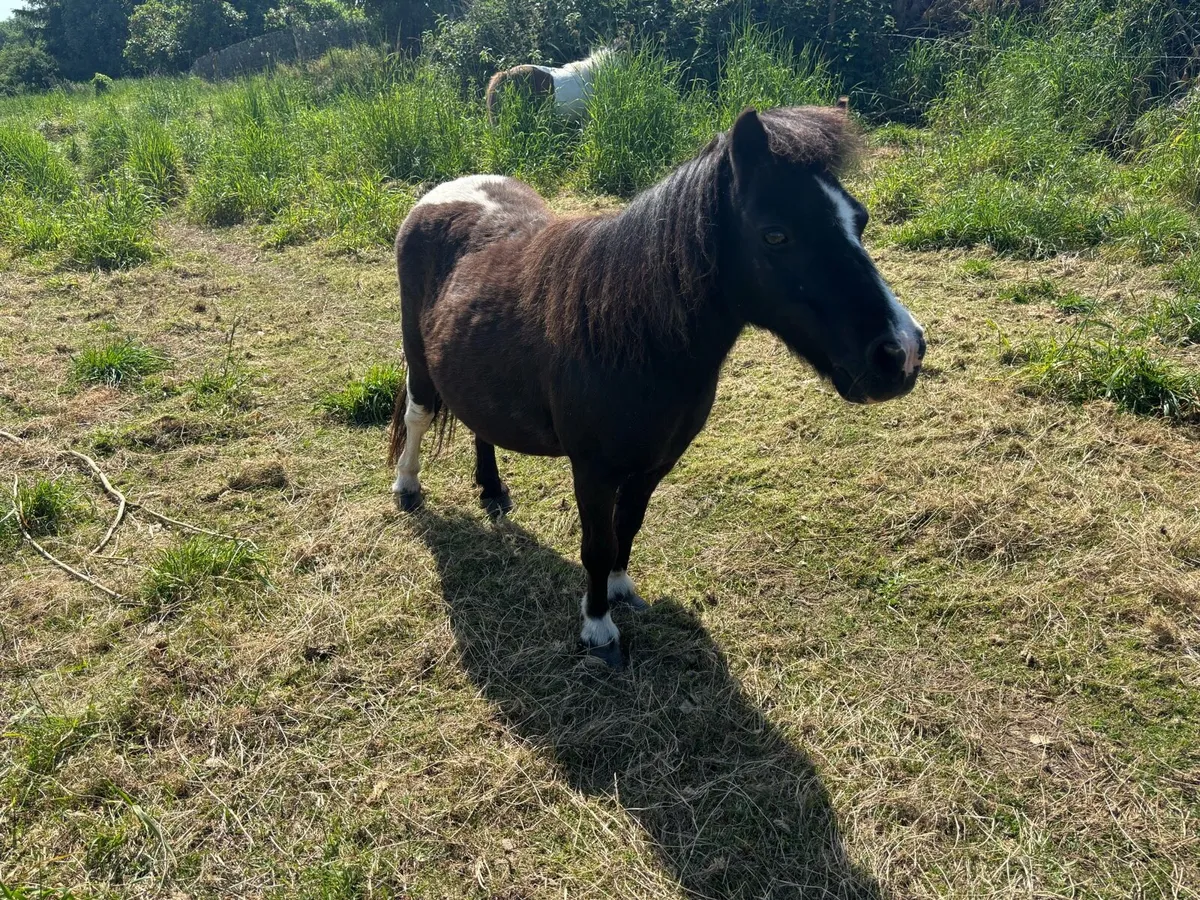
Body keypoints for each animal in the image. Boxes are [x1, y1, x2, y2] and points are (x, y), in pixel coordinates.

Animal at [388, 104, 926, 668]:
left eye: (859, 220)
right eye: (775, 235)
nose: (901, 352)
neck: (632, 335)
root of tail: (445, 192)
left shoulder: (656, 462)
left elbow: (629, 524)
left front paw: (621, 591)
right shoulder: (593, 469)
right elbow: (597, 543)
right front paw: (598, 628)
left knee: (480, 423)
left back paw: (492, 490)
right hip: (417, 358)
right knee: (419, 415)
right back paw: (407, 486)